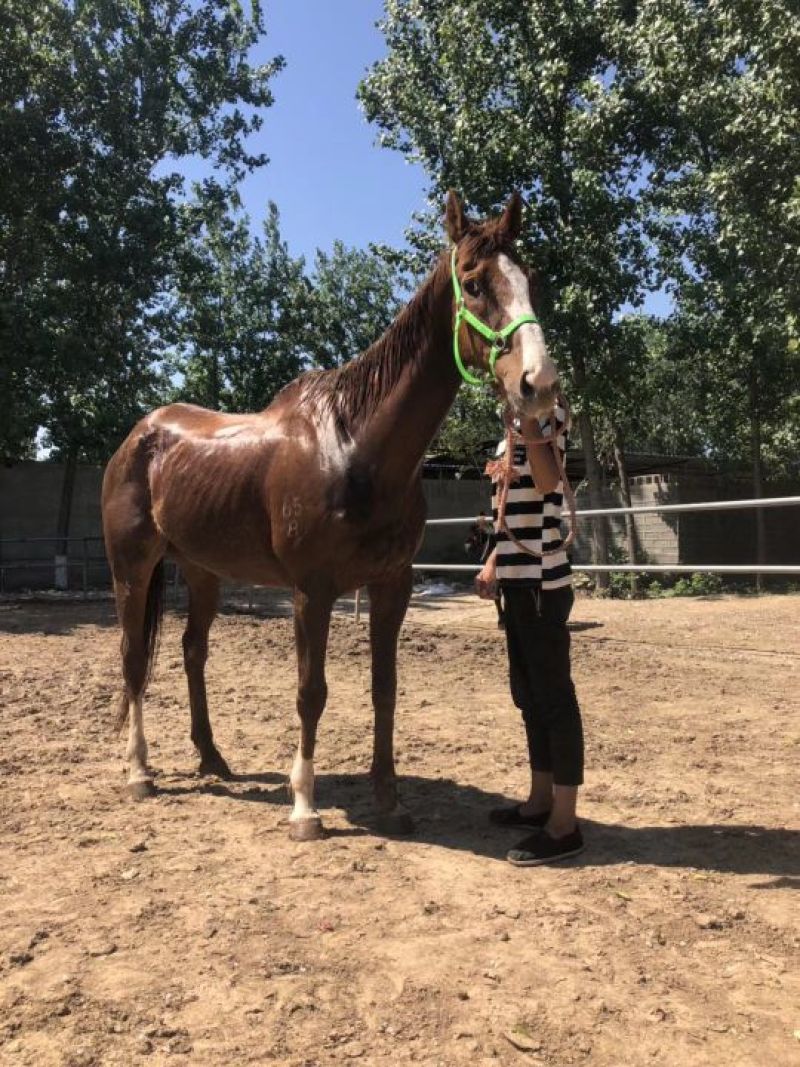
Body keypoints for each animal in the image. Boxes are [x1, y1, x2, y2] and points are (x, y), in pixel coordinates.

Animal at [101, 190, 560, 840]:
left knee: (193, 652)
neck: (353, 446)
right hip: (133, 568)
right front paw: (305, 807)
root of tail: (138, 437)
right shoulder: (311, 591)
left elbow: (384, 688)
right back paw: (140, 772)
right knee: (134, 658)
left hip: (202, 570)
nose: (537, 383)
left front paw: (390, 802)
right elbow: (310, 691)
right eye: (473, 283)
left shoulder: (393, 585)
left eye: (531, 280)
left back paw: (213, 759)